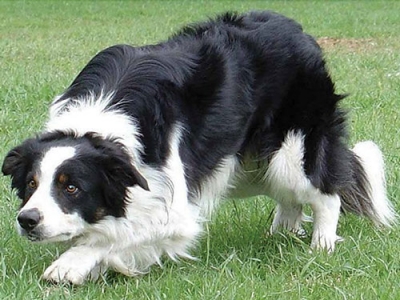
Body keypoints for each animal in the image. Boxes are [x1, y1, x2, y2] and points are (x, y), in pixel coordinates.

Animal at [0, 11, 396, 284]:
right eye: (32, 184)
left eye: (71, 187)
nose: (27, 220)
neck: (97, 126)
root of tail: (299, 31)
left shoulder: (173, 204)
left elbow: (120, 232)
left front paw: (71, 265)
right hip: (245, 167)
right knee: (288, 197)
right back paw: (282, 233)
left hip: (291, 152)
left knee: (324, 191)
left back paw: (321, 244)